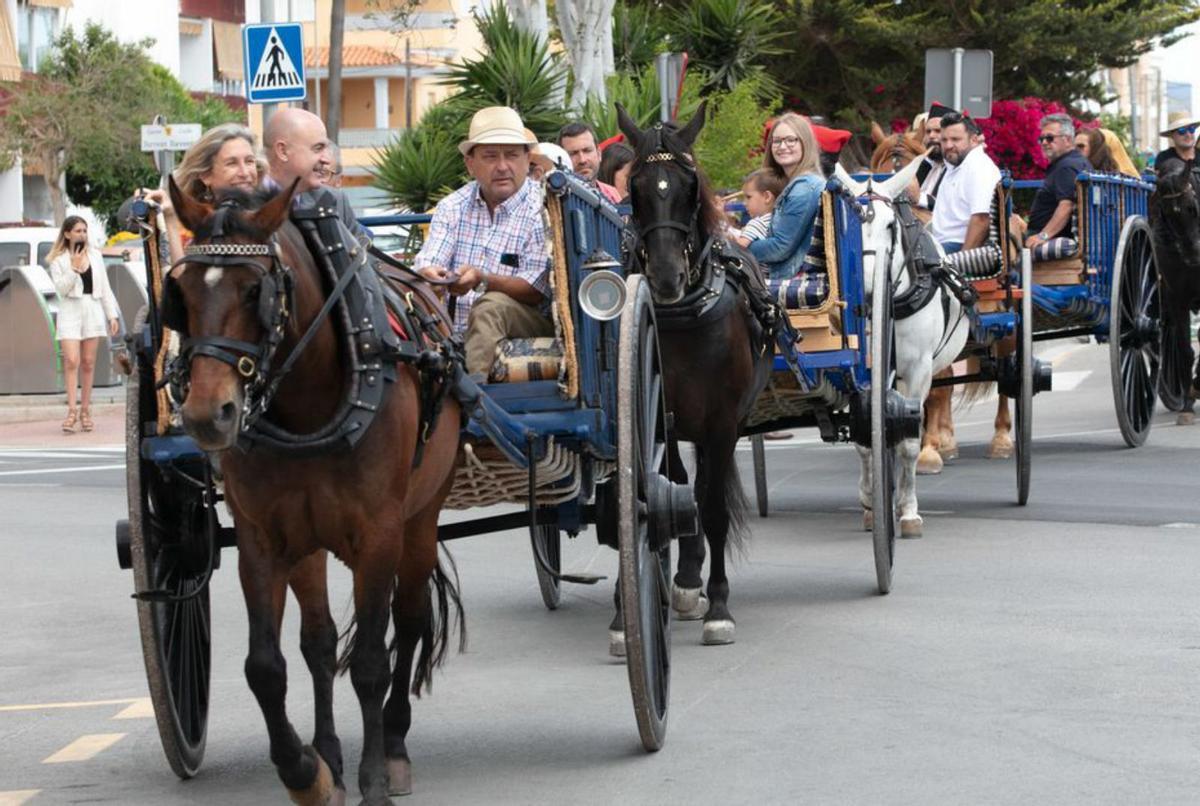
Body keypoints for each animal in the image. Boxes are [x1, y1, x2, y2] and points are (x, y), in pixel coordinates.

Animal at [169, 177, 463, 806]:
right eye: (178, 292)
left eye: (254, 290)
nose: (208, 413)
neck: (310, 401)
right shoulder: (262, 541)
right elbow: (267, 666)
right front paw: (305, 771)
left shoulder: (378, 535)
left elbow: (373, 661)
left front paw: (374, 778)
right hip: (308, 545)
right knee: (320, 644)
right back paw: (329, 752)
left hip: (420, 519)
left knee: (409, 622)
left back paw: (394, 744)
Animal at [614, 102, 772, 642]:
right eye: (635, 188)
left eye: (690, 187)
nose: (665, 278)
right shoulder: (658, 415)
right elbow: (674, 492)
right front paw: (682, 580)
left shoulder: (723, 421)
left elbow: (715, 508)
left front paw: (718, 606)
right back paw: (684, 574)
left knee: (705, 489)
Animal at [840, 160, 969, 537]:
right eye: (848, 226)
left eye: (889, 224)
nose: (869, 293)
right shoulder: (858, 371)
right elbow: (865, 439)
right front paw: (871, 503)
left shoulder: (918, 370)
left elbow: (908, 443)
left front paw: (909, 511)